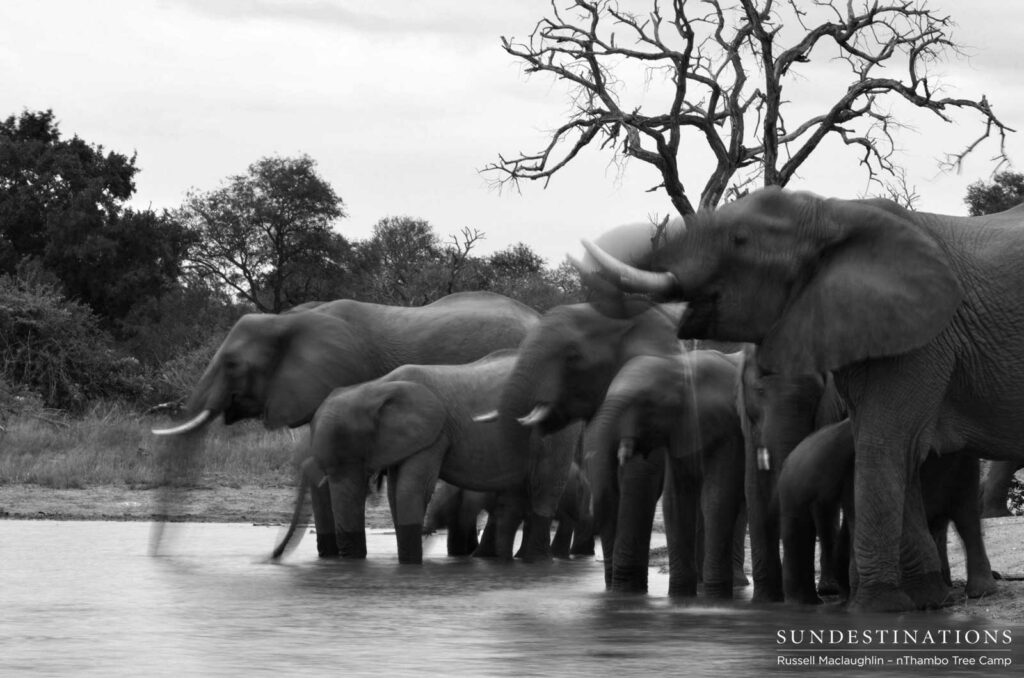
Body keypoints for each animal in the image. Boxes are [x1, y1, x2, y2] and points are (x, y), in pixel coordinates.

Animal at [295, 350, 578, 564]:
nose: (349, 562)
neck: (375, 388)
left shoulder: (434, 434)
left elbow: (411, 490)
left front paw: (411, 566)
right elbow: (396, 493)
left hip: (553, 430)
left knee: (545, 485)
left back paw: (536, 561)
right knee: (513, 496)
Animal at [584, 349, 746, 598]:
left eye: (648, 403)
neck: (679, 366)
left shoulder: (729, 431)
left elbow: (717, 498)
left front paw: (716, 595)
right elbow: (676, 501)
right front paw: (680, 596)